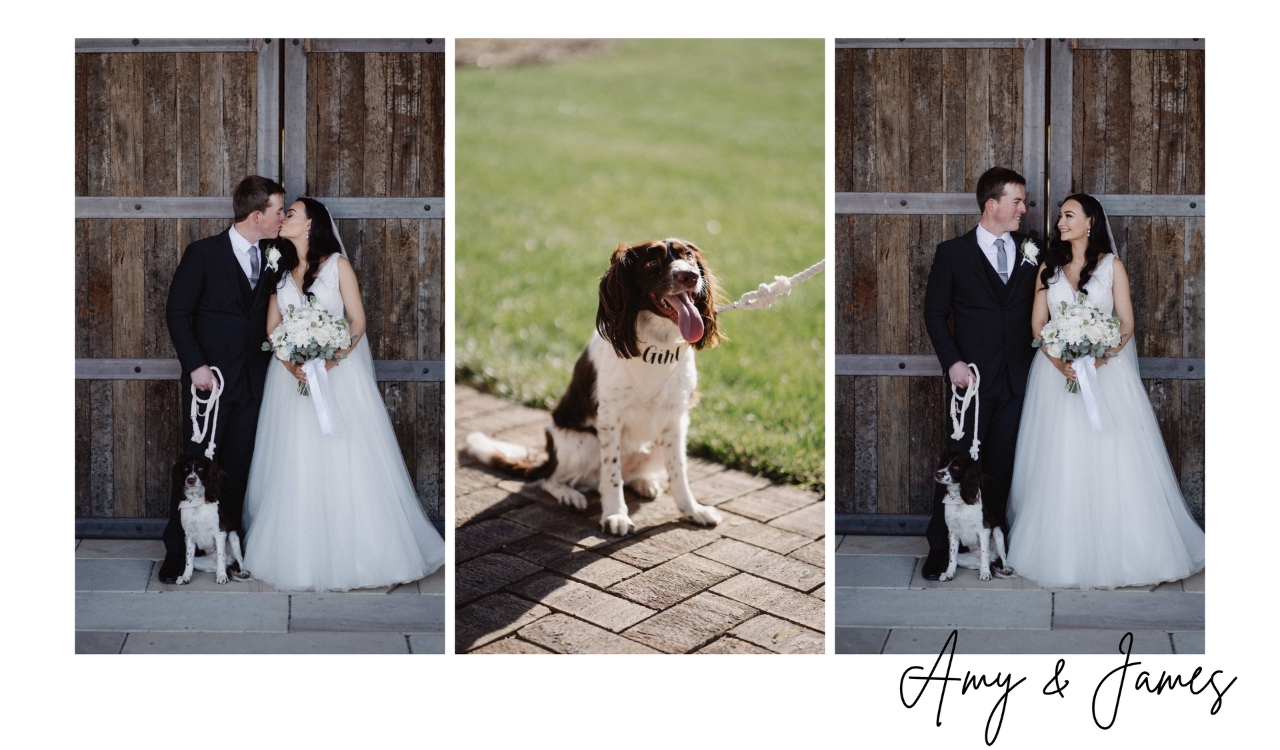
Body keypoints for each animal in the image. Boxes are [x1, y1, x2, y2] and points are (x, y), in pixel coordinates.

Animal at [468, 236, 732, 534]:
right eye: (652, 262)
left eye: (688, 257)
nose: (690, 276)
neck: (658, 343)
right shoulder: (609, 418)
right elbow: (612, 472)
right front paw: (615, 514)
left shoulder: (677, 419)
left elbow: (679, 471)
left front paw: (692, 510)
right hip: (582, 443)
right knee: (551, 480)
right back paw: (569, 494)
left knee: (630, 474)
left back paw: (644, 482)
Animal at [936, 447, 1013, 581]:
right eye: (945, 462)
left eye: (956, 467)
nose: (938, 474)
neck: (959, 499)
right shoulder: (952, 532)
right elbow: (952, 557)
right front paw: (949, 573)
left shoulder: (984, 529)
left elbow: (984, 553)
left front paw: (986, 573)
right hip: (964, 558)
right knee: (978, 563)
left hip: (997, 531)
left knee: (1000, 556)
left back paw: (1005, 569)